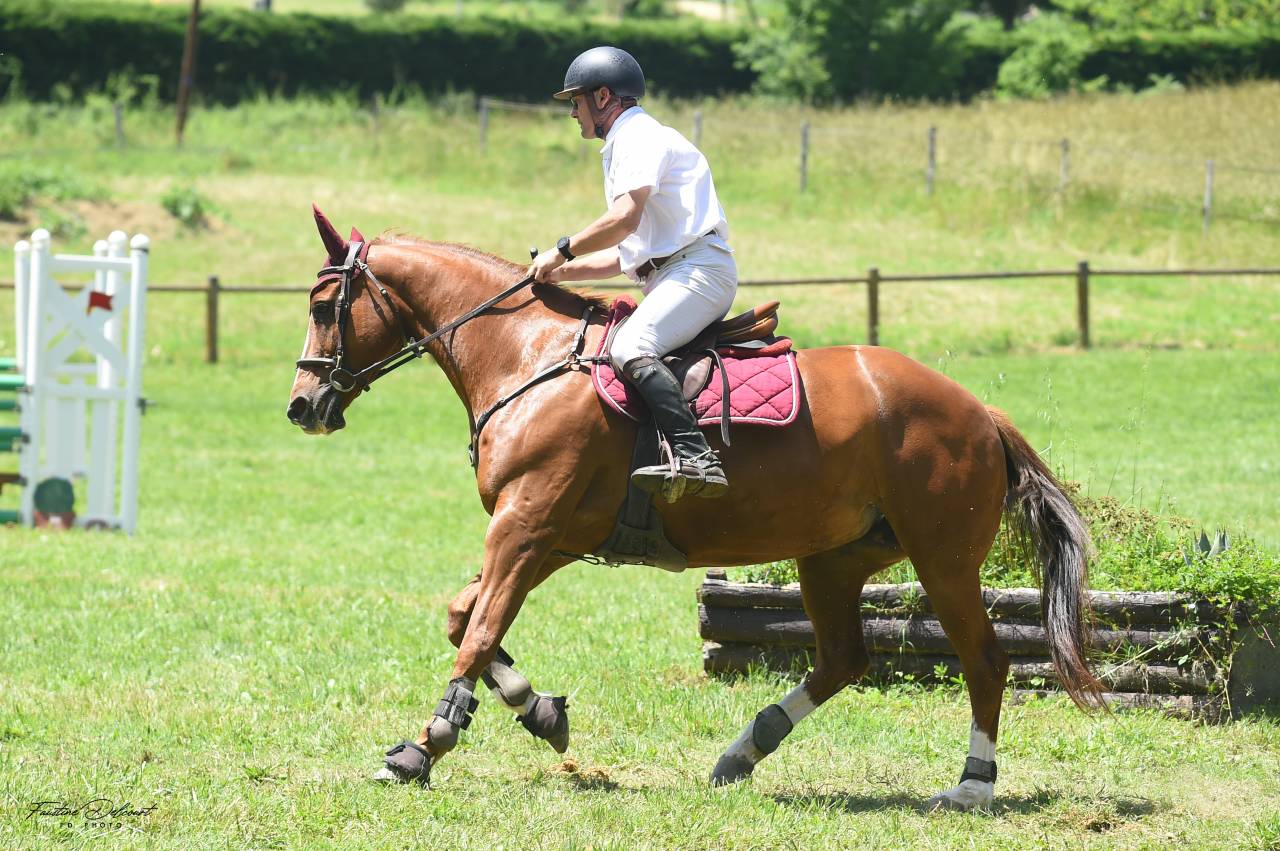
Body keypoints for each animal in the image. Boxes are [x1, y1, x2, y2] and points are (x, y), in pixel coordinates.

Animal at [287, 208, 1102, 811]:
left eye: (325, 306)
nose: (302, 407)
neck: (527, 355)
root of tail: (979, 410)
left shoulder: (526, 524)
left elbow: (479, 631)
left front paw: (423, 746)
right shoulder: (551, 535)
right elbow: (467, 619)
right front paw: (541, 711)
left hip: (942, 557)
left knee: (986, 659)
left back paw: (971, 785)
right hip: (835, 555)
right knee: (845, 657)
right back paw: (742, 752)